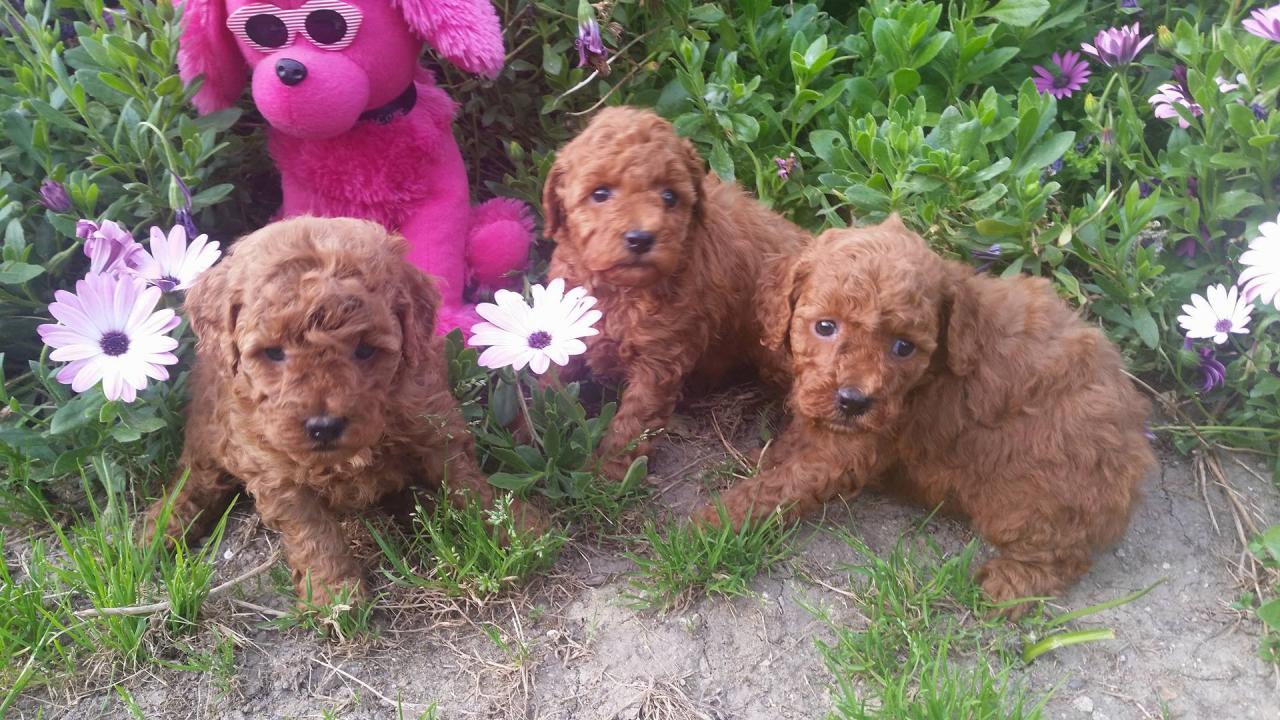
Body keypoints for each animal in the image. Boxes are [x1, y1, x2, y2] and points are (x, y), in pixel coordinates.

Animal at [147, 215, 542, 597]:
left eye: (365, 350)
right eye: (274, 352)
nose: (323, 426)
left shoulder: (433, 424)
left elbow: (465, 482)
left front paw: (516, 527)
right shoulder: (275, 469)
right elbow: (312, 531)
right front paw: (334, 591)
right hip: (207, 430)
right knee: (196, 478)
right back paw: (160, 529)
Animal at [542, 106, 808, 476]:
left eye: (669, 196)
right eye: (600, 193)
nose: (640, 238)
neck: (621, 290)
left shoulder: (658, 358)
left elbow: (634, 421)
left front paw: (608, 471)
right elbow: (550, 379)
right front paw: (528, 429)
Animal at [701, 215, 1162, 607]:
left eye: (904, 347)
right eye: (825, 326)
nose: (853, 401)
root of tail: (1137, 452)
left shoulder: (856, 446)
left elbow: (779, 487)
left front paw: (709, 524)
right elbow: (794, 446)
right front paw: (767, 456)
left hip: (1035, 497)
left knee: (1060, 554)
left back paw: (1006, 587)